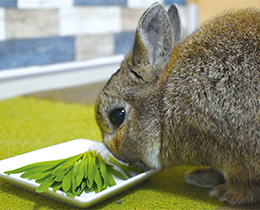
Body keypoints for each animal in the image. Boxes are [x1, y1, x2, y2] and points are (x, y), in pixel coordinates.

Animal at [95, 2, 260, 204]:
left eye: (117, 116)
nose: (116, 154)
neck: (163, 105)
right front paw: (200, 176)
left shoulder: (235, 154)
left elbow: (244, 184)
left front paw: (225, 193)